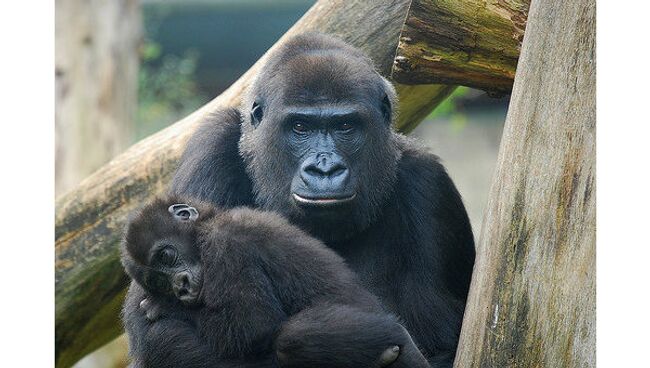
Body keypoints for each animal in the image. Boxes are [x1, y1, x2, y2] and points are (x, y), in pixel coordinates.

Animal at [120, 194, 430, 366]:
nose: (180, 286)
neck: (206, 226)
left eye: (167, 256)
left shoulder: (227, 243)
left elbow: (252, 325)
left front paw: (168, 308)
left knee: (291, 339)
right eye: (158, 281)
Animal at [171, 33, 476, 366]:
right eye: (300, 127)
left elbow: (448, 346)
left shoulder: (429, 185)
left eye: (345, 126)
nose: (325, 169)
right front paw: (332, 342)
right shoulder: (211, 148)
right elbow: (163, 326)